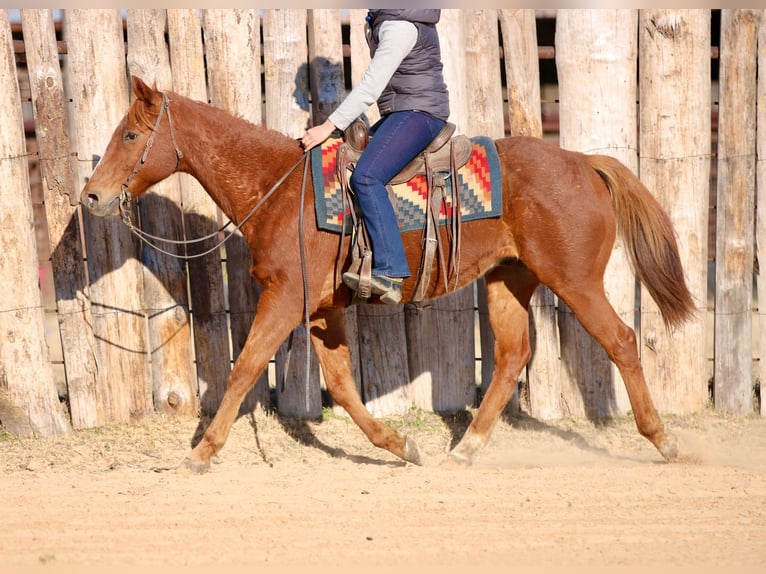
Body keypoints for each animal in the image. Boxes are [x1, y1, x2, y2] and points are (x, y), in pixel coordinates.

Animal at [80, 76, 696, 473]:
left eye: (130, 136)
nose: (91, 197)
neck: (281, 188)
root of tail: (584, 162)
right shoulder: (321, 308)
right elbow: (341, 385)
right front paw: (400, 446)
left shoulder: (284, 298)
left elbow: (245, 368)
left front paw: (201, 452)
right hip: (509, 279)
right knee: (511, 356)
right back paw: (465, 448)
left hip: (576, 281)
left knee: (621, 340)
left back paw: (664, 442)